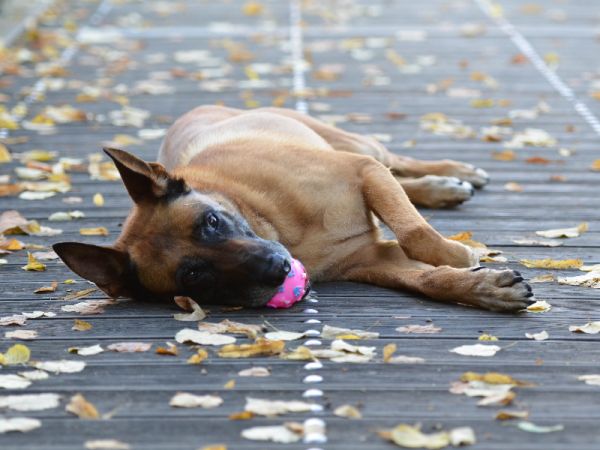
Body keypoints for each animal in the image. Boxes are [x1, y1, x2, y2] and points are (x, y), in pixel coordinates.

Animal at [54, 106, 534, 312]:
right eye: (194, 275)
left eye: (211, 221)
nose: (277, 269)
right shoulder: (374, 260)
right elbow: (429, 280)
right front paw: (483, 288)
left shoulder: (362, 171)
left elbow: (415, 233)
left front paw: (455, 254)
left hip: (358, 147)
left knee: (395, 160)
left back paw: (450, 175)